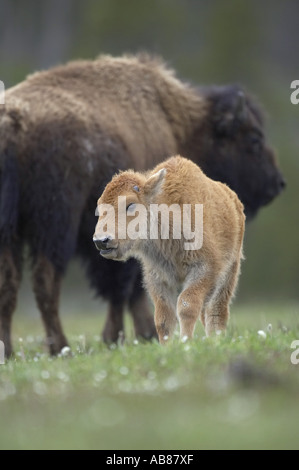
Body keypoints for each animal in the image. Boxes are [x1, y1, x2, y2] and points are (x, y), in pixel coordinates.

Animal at [95, 157, 246, 342]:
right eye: (100, 207)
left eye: (130, 205)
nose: (101, 241)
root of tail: (233, 200)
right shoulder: (158, 277)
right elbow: (163, 318)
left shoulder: (205, 269)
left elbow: (186, 306)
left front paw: (185, 341)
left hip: (229, 272)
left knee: (216, 312)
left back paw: (216, 340)